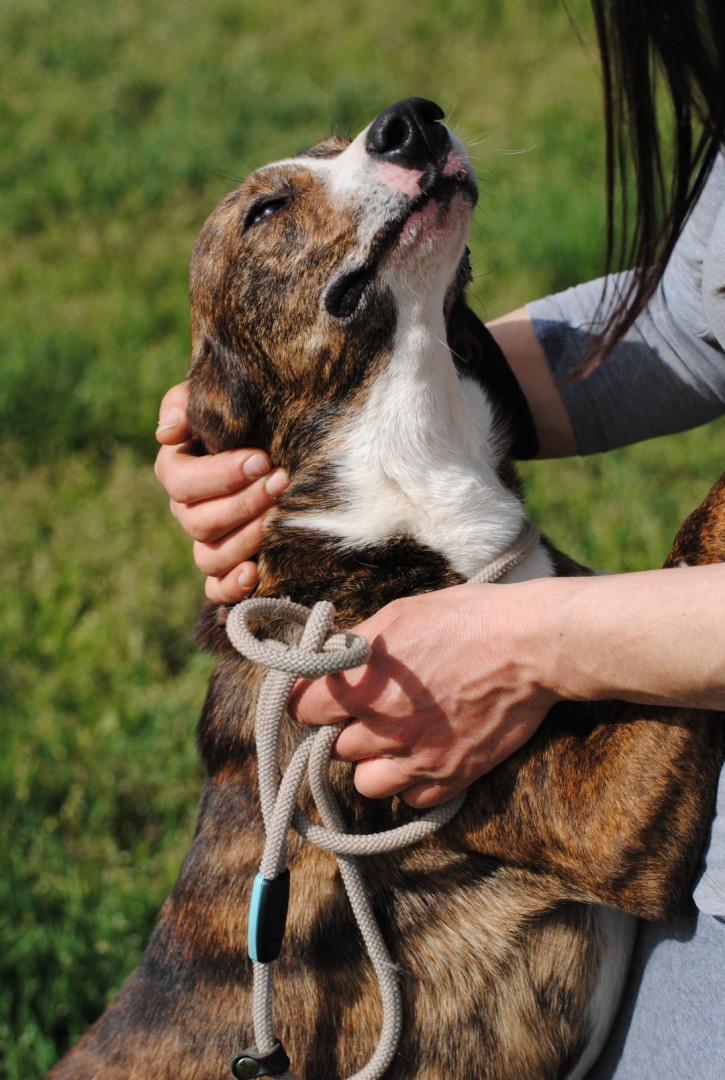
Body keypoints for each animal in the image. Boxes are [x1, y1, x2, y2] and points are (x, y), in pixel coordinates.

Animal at [47, 98, 725, 1080]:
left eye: (343, 142)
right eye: (265, 211)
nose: (411, 121)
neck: (415, 463)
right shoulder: (596, 810)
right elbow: (702, 526)